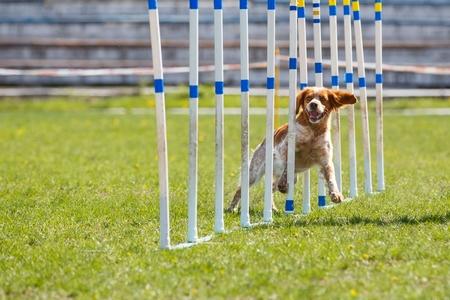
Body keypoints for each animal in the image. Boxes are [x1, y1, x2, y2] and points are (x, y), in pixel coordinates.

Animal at [229, 86, 358, 212]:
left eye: (322, 99)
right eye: (308, 98)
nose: (313, 104)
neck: (313, 131)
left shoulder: (325, 160)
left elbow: (331, 177)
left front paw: (336, 194)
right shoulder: (286, 148)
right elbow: (287, 166)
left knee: (272, 187)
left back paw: (273, 208)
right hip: (254, 172)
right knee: (241, 189)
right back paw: (232, 208)